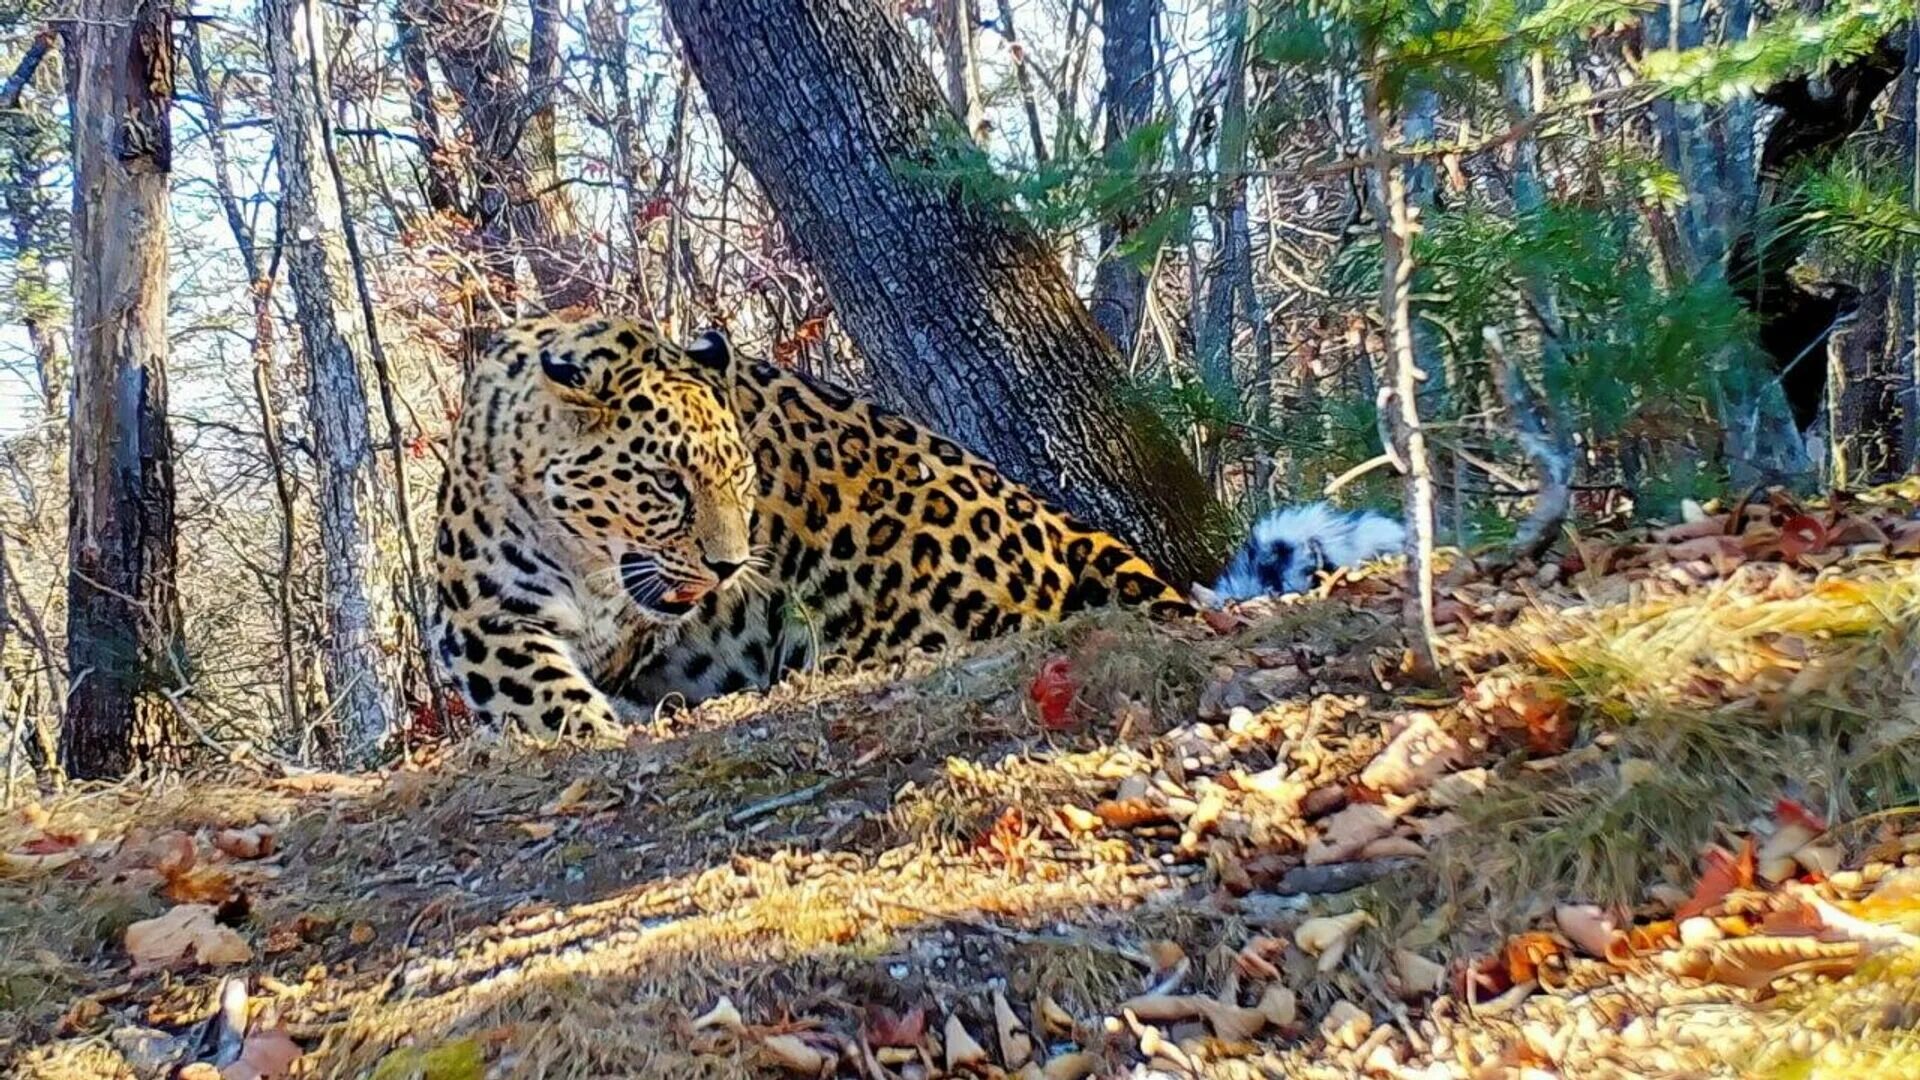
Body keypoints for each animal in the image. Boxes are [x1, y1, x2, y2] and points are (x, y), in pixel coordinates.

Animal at [428, 307, 1190, 734]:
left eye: (740, 476)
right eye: (668, 483)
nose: (729, 568)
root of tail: (1065, 525)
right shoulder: (479, 619)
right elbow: (544, 691)